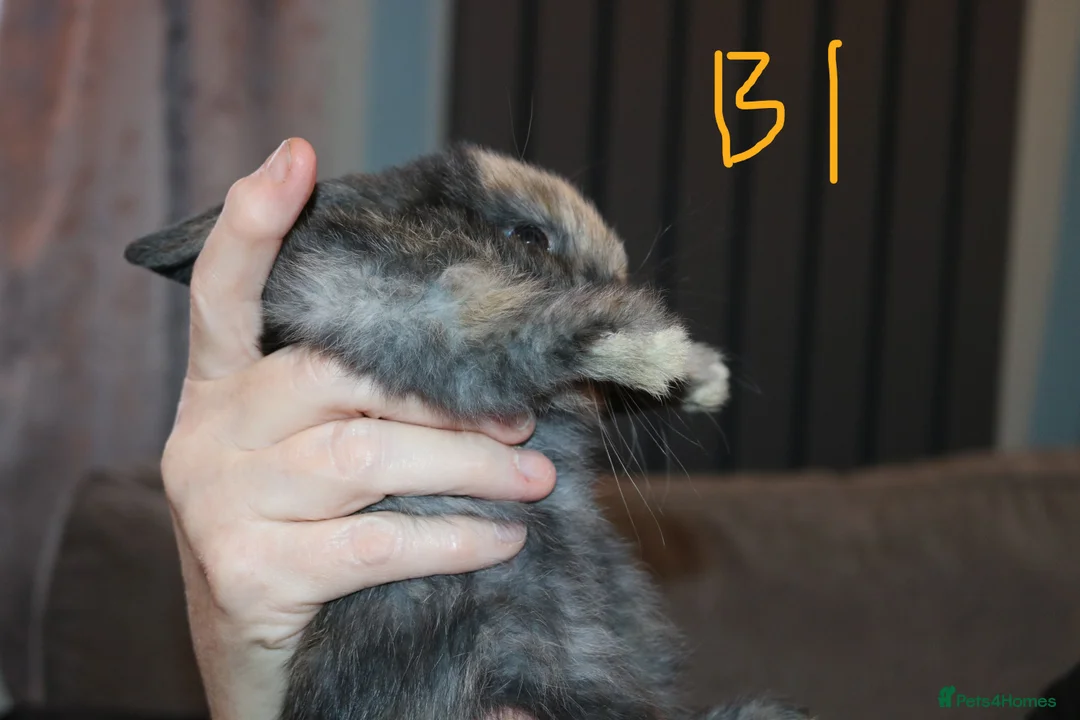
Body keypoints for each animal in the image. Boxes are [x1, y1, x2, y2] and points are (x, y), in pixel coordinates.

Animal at [124, 143, 811, 720]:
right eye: (528, 235)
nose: (621, 290)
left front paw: (701, 374)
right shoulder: (385, 300)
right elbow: (493, 317)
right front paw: (644, 346)